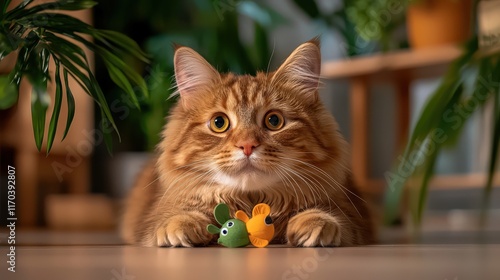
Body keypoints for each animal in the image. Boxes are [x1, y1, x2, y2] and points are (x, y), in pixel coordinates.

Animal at [121, 38, 374, 246]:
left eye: (274, 121)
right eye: (219, 123)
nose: (247, 146)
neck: (250, 203)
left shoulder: (353, 217)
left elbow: (328, 216)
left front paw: (316, 222)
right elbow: (174, 215)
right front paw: (180, 224)